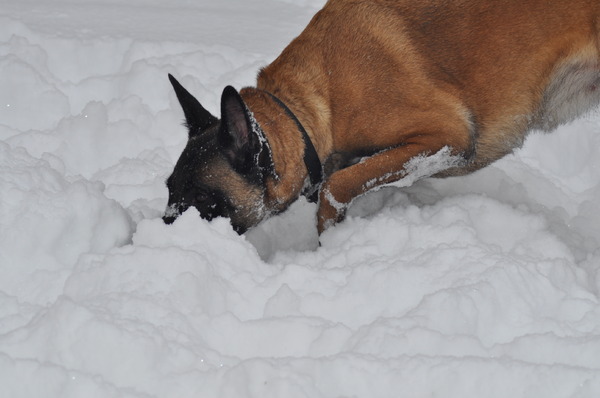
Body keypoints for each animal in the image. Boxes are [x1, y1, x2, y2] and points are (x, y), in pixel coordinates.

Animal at [164, 0, 600, 235]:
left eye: (201, 197)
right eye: (169, 188)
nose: (161, 232)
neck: (313, 102)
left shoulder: (446, 137)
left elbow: (336, 186)